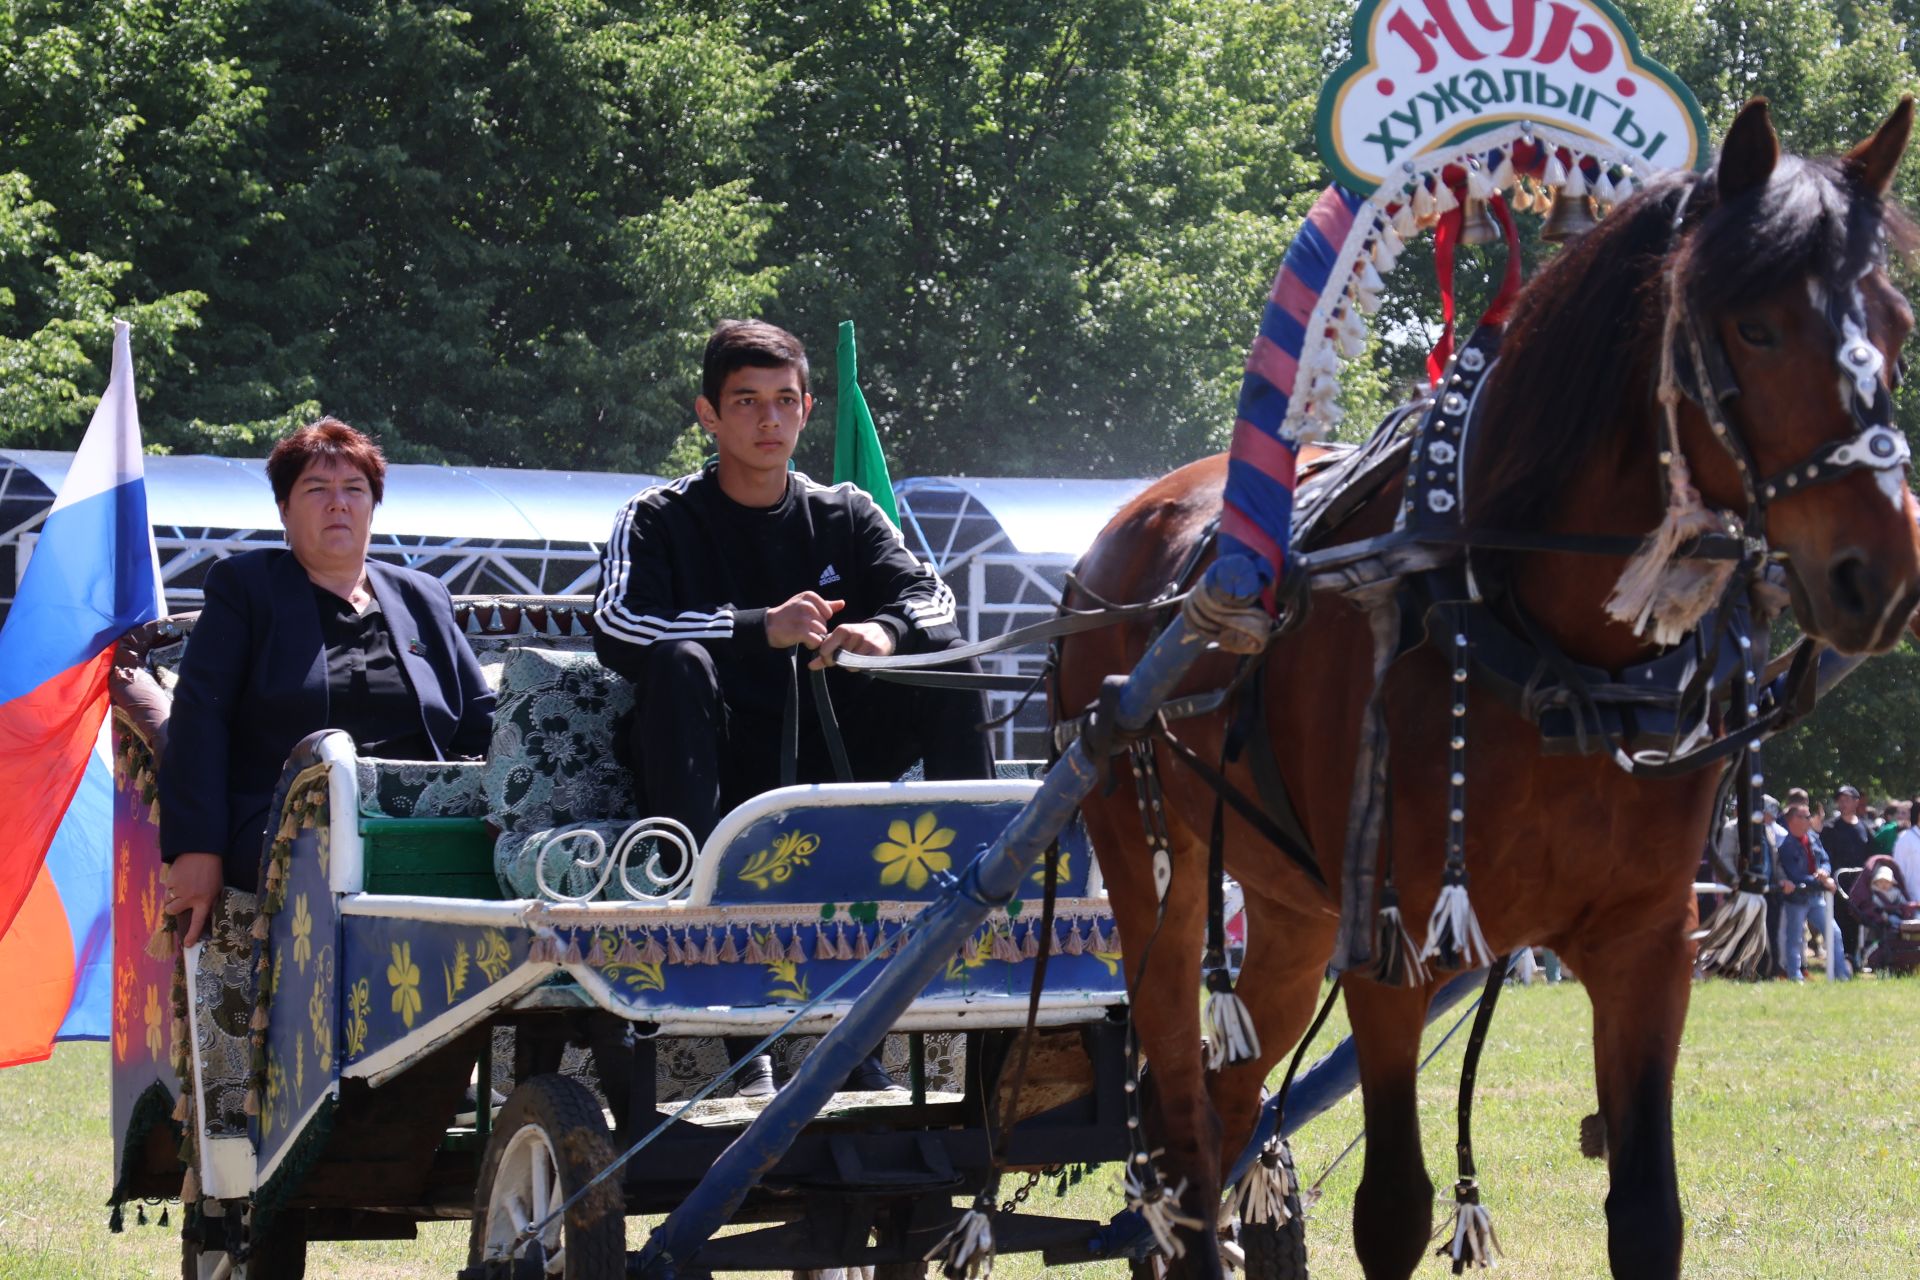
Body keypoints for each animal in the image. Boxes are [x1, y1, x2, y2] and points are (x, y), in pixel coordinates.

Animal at [1059, 102, 1920, 1280]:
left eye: (1899, 324)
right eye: (1755, 329)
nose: (1880, 571)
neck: (1550, 645)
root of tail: (1121, 535)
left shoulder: (1647, 947)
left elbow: (1648, 1211)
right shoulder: (1391, 945)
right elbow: (1394, 1209)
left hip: (1286, 915)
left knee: (1225, 1098)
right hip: (1155, 864)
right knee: (1184, 1114)